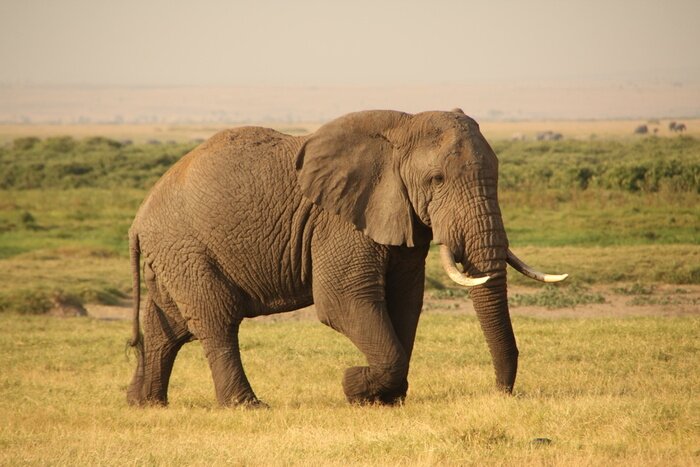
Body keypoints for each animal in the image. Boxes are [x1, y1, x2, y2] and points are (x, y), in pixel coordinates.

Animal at [126, 109, 567, 407]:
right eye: (437, 180)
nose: (501, 394)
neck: (402, 128)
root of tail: (139, 216)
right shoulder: (340, 221)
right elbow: (344, 301)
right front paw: (355, 384)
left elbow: (404, 303)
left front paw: (385, 399)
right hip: (185, 246)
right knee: (216, 320)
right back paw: (247, 406)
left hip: (174, 253)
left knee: (169, 325)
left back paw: (144, 404)